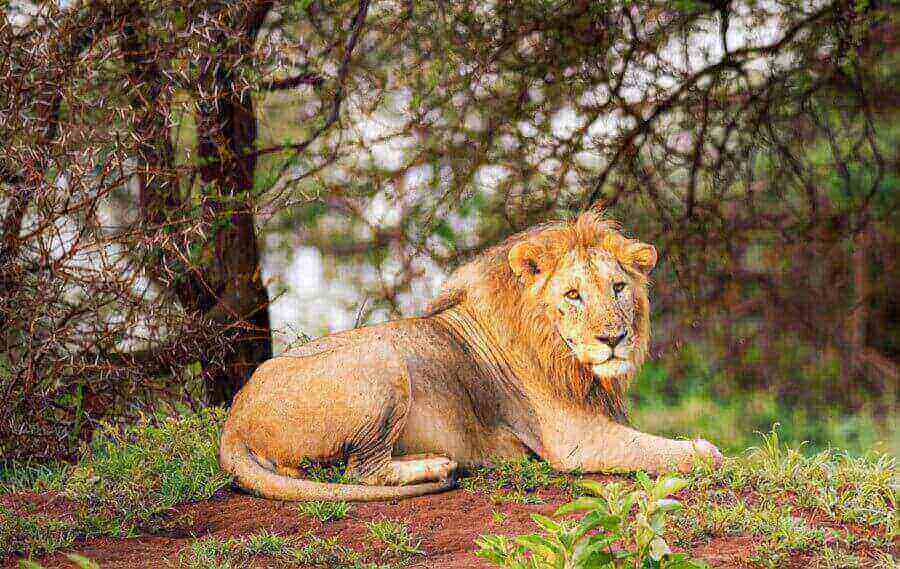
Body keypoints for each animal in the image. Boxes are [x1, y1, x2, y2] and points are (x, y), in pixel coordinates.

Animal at [218, 210, 723, 501]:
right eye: (573, 295)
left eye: (618, 288)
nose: (613, 338)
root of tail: (234, 422)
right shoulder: (576, 440)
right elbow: (683, 453)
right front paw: (708, 451)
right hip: (383, 358)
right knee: (359, 471)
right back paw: (435, 465)